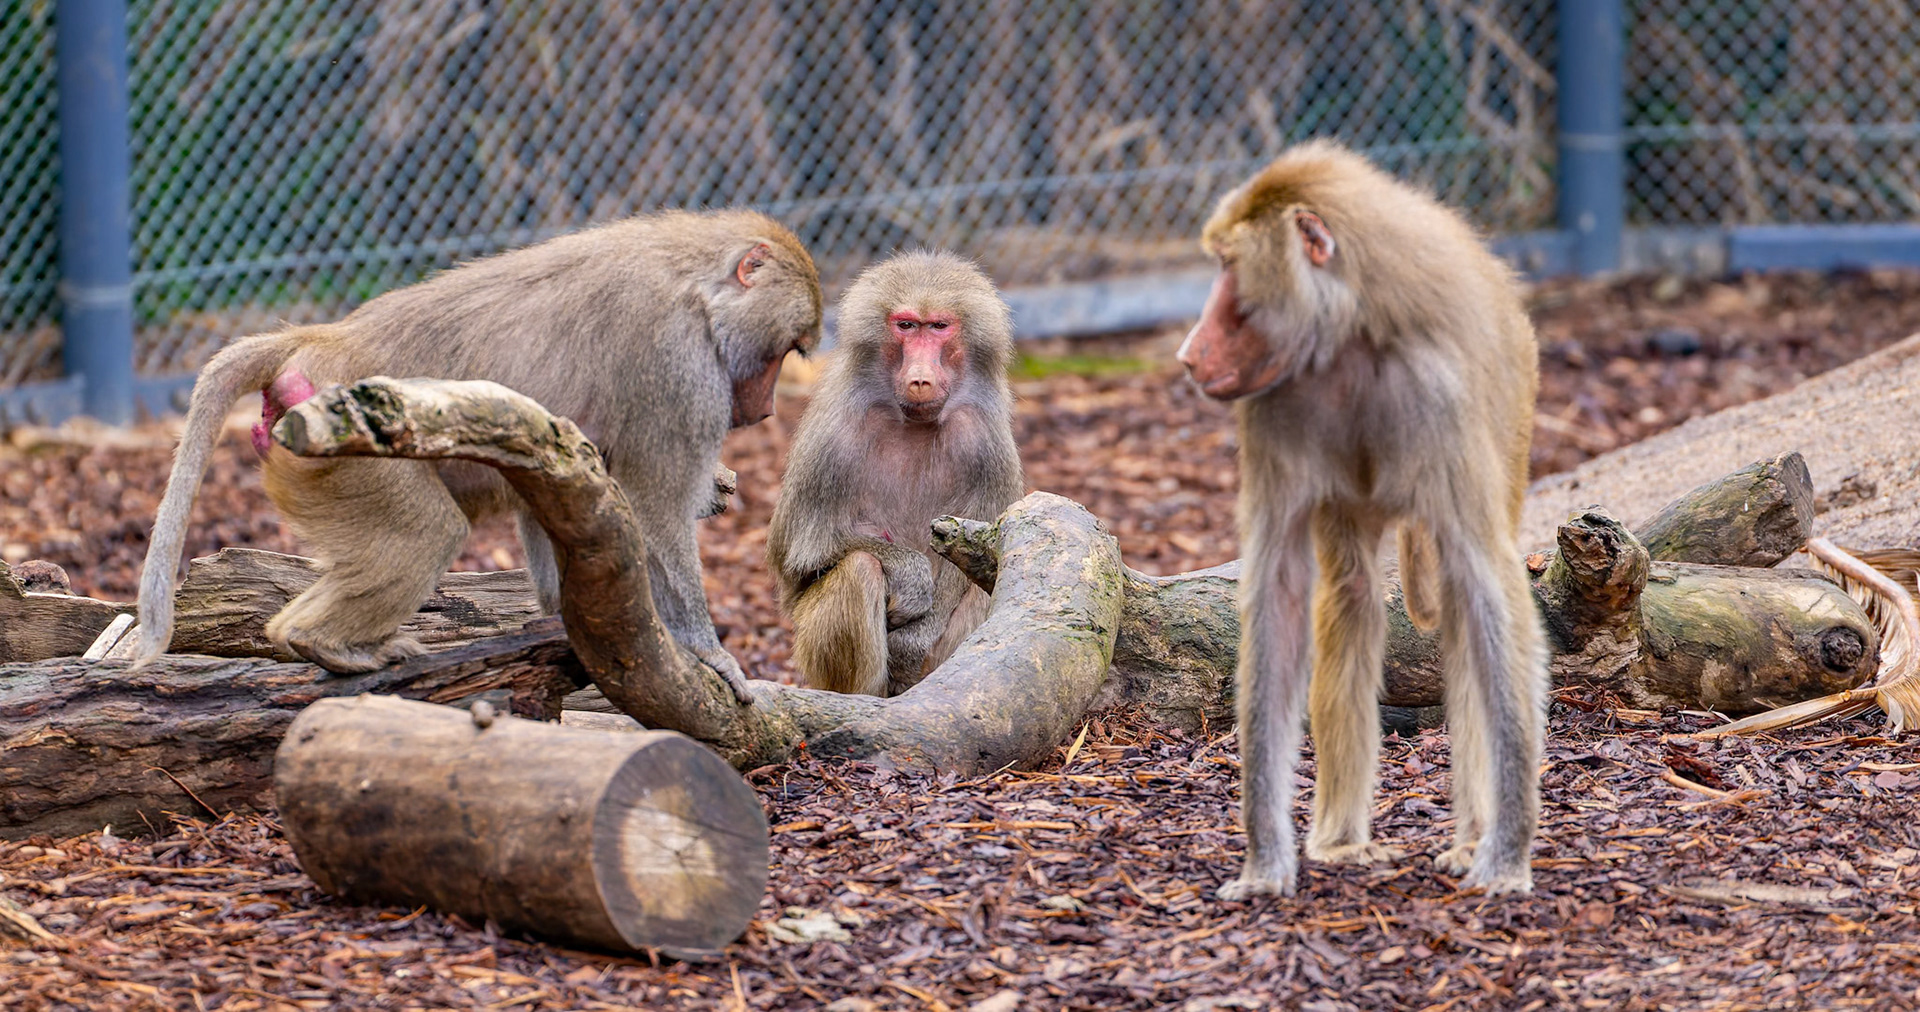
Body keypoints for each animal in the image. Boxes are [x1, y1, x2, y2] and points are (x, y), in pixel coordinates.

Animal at [133, 209, 822, 702]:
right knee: (427, 536)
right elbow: (657, 511)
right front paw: (708, 653)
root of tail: (325, 339)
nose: (763, 411)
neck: (697, 286)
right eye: (787, 350)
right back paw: (322, 644)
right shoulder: (678, 367)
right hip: (346, 456)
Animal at [766, 251, 1024, 697]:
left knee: (982, 591)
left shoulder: (984, 439)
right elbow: (802, 553)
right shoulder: (834, 436)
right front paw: (910, 573)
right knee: (860, 571)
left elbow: (976, 551)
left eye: (938, 326)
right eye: (905, 326)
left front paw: (913, 640)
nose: (920, 378)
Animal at [1177, 140, 1548, 899]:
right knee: (1350, 596)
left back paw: (1472, 837)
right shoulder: (1273, 406)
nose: (1189, 353)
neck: (1347, 338)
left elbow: (1486, 581)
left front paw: (1506, 856)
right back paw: (1342, 840)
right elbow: (1280, 590)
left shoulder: (1440, 391)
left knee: (1462, 608)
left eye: (1229, 267)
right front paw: (1265, 861)